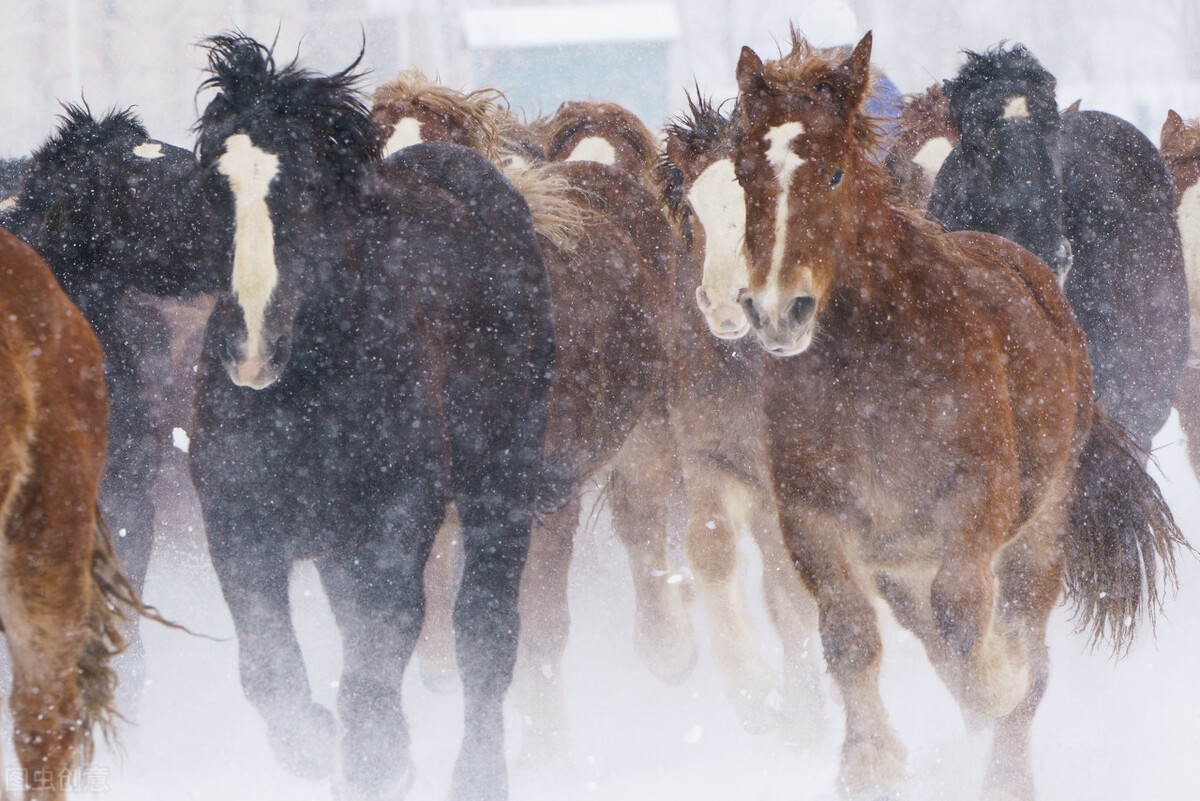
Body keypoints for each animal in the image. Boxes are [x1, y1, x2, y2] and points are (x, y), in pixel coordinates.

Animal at [190, 34, 552, 796]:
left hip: (502, 481)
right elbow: (269, 667)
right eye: (212, 185)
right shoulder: (239, 520)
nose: (251, 348)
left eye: (304, 188)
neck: (307, 401)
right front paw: (316, 744)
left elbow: (380, 644)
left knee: (486, 631)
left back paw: (478, 773)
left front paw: (376, 758)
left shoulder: (396, 513)